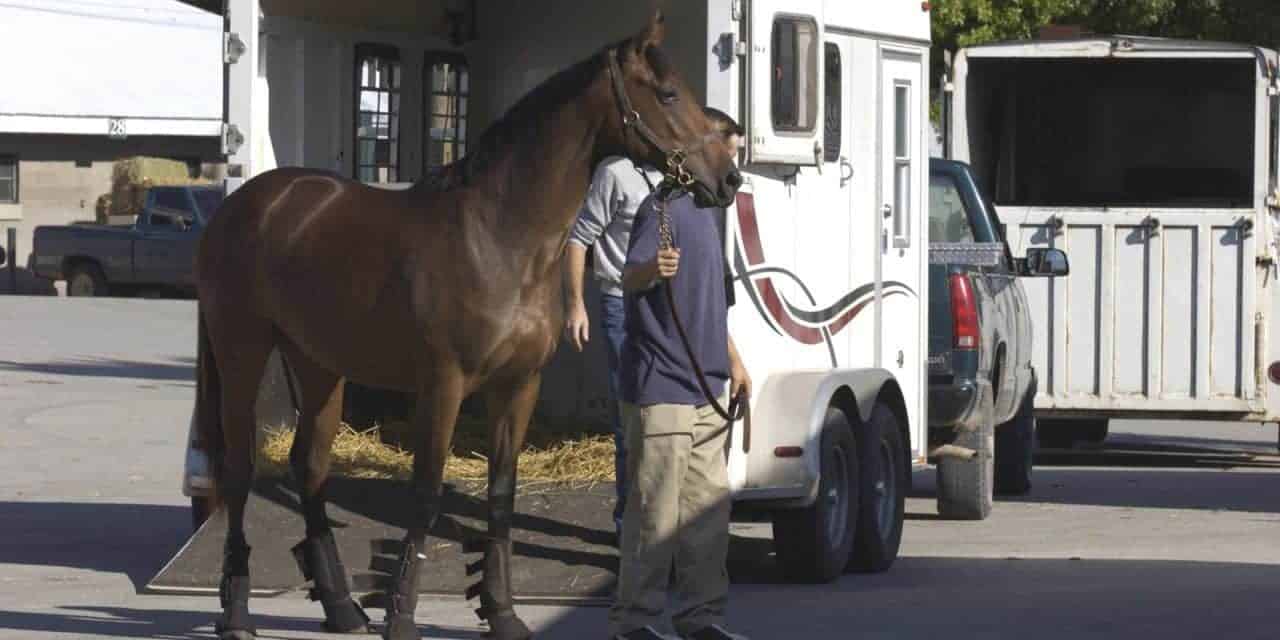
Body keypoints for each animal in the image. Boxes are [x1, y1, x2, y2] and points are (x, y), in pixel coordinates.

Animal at [195, 11, 747, 640]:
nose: (728, 179)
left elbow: (500, 497)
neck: (499, 235)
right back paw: (237, 613)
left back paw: (339, 606)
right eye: (669, 93)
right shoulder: (444, 385)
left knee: (308, 467)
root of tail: (247, 204)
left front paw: (502, 613)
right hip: (242, 352)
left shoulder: (518, 385)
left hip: (317, 365)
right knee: (239, 470)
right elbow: (427, 495)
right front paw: (401, 615)